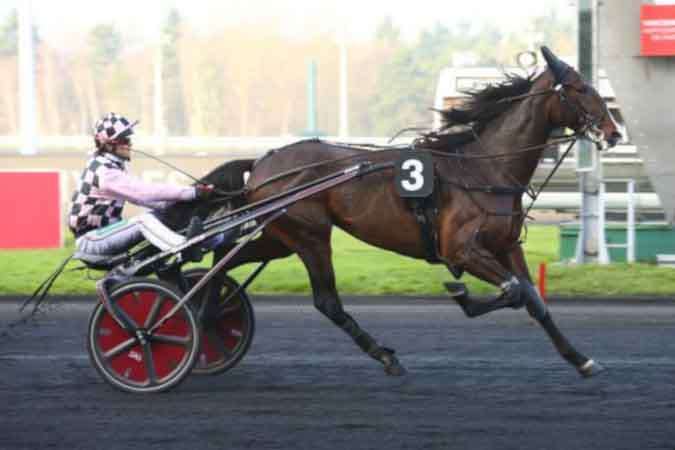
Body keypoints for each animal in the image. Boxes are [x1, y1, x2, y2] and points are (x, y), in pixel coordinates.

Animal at [164, 46, 621, 378]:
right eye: (579, 88)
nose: (613, 132)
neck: (485, 168)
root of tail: (263, 161)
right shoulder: (461, 249)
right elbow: (512, 290)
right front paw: (462, 295)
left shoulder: (507, 246)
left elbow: (533, 298)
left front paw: (581, 359)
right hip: (310, 235)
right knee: (326, 301)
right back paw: (384, 356)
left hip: (280, 237)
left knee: (222, 264)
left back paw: (204, 317)